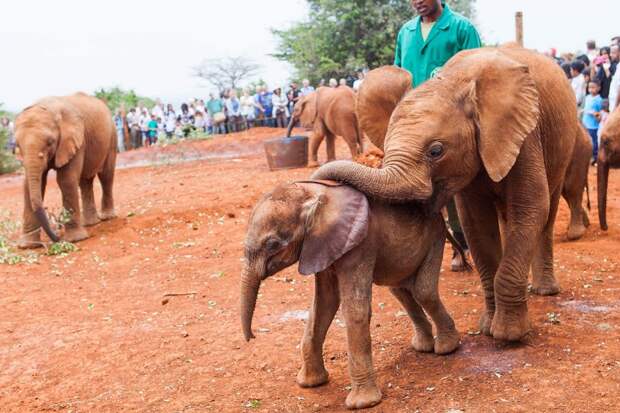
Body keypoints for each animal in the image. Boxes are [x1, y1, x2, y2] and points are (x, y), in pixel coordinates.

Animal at [15, 92, 117, 248]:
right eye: (17, 145)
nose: (57, 235)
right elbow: (29, 186)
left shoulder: (75, 140)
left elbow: (66, 180)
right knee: (85, 181)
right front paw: (28, 246)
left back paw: (107, 217)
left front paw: (75, 240)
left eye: (50, 142)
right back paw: (90, 223)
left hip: (112, 137)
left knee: (106, 175)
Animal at [240, 179, 468, 408]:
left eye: (273, 245)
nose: (252, 337)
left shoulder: (360, 245)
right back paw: (423, 346)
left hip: (435, 237)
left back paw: (446, 347)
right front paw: (310, 384)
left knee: (423, 291)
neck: (315, 195)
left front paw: (362, 404)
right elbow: (324, 304)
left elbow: (354, 309)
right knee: (399, 290)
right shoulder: (320, 247)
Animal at [314, 45, 580, 342]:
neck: (453, 81)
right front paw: (487, 327)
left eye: (436, 151)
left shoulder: (523, 135)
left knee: (547, 211)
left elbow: (531, 207)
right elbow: (476, 223)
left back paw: (544, 291)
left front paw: (509, 335)